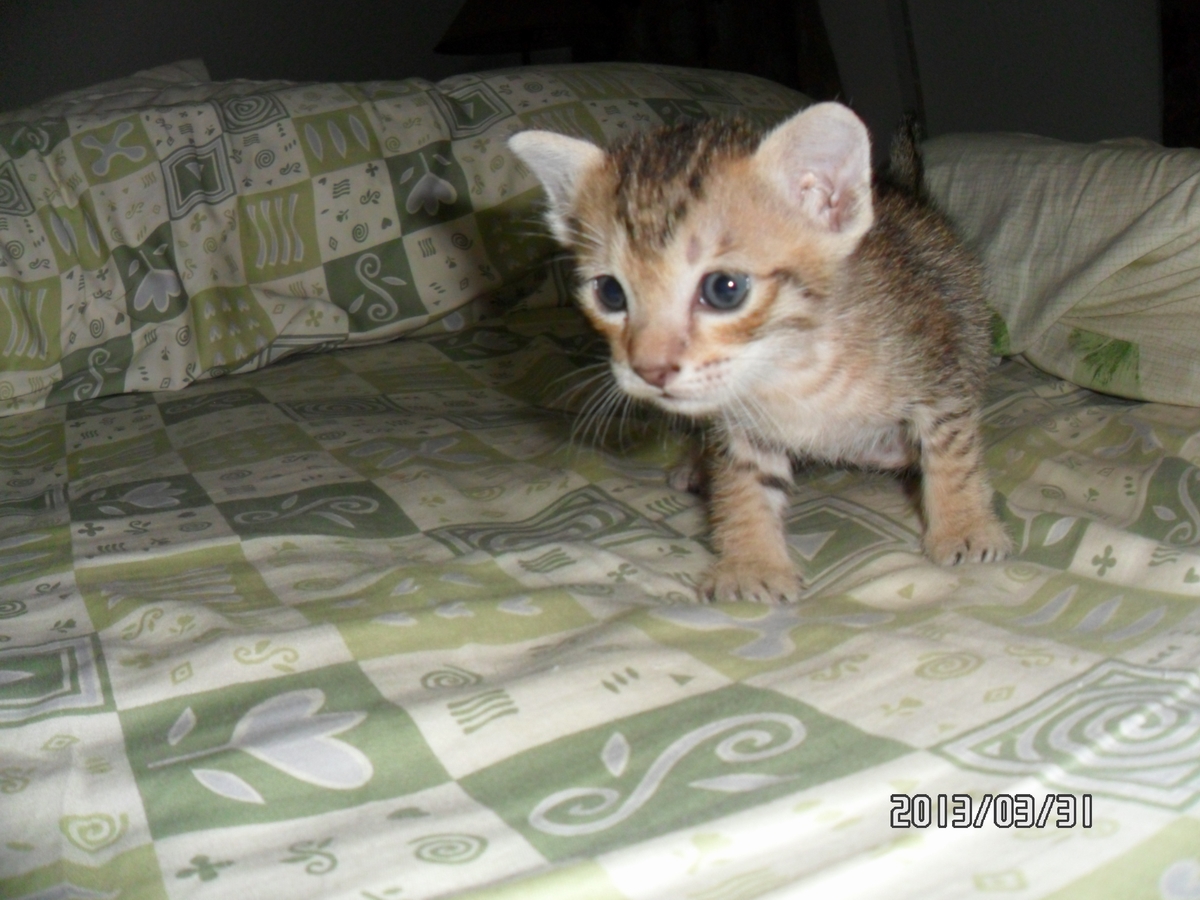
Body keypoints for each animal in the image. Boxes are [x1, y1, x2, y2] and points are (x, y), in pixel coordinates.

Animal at [510, 102, 1011, 603]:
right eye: (610, 293)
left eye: (724, 288)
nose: (650, 369)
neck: (790, 367)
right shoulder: (738, 426)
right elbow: (744, 482)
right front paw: (751, 563)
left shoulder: (938, 370)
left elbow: (951, 453)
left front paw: (964, 527)